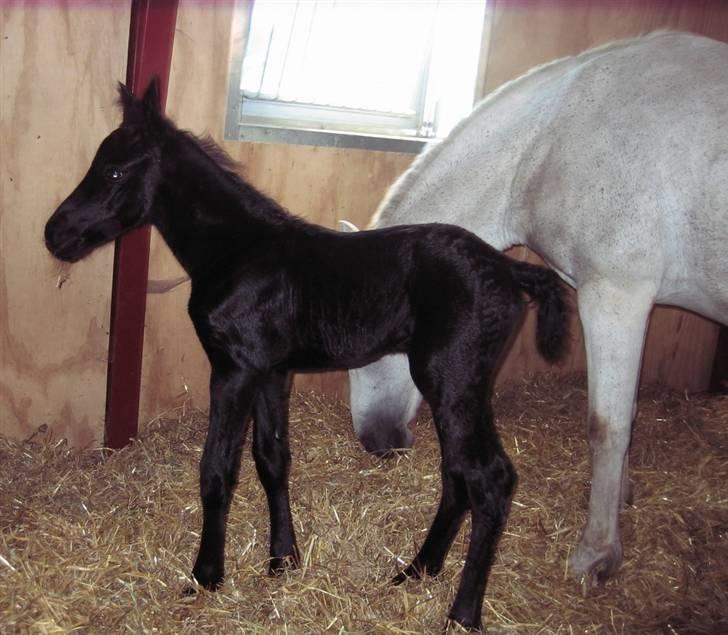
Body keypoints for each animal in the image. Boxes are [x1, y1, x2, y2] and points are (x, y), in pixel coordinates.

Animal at [44, 79, 568, 632]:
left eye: (113, 171)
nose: (54, 233)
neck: (238, 253)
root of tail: (509, 269)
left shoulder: (233, 370)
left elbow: (217, 469)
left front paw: (206, 576)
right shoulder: (272, 371)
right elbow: (272, 458)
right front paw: (283, 559)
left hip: (451, 379)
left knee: (487, 477)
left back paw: (463, 612)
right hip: (463, 387)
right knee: (459, 474)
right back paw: (417, 569)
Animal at [346, 32, 728, 584]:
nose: (376, 441)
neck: (548, 144)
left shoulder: (616, 296)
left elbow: (607, 425)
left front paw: (597, 553)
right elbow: (628, 412)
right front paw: (620, 496)